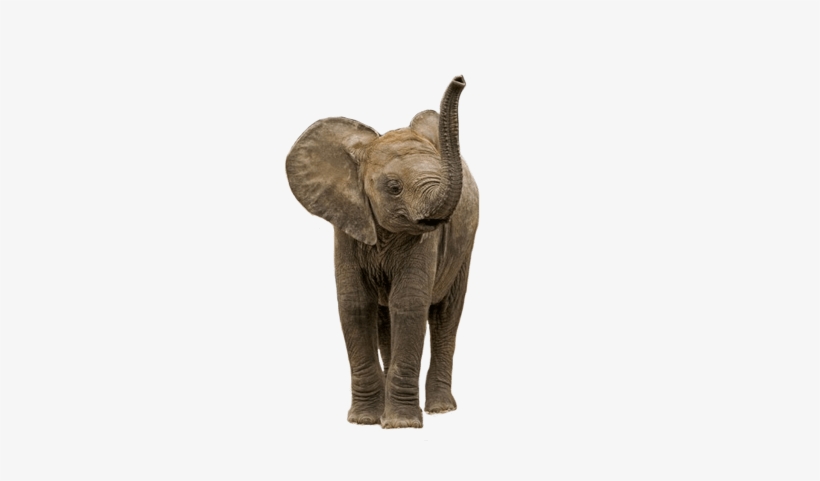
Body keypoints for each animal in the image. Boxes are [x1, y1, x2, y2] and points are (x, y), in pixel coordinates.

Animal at [285, 76, 478, 428]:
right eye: (394, 188)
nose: (460, 80)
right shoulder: (348, 224)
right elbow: (355, 304)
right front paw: (364, 420)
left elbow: (408, 303)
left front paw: (401, 425)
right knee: (384, 316)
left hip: (466, 247)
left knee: (446, 314)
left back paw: (441, 409)